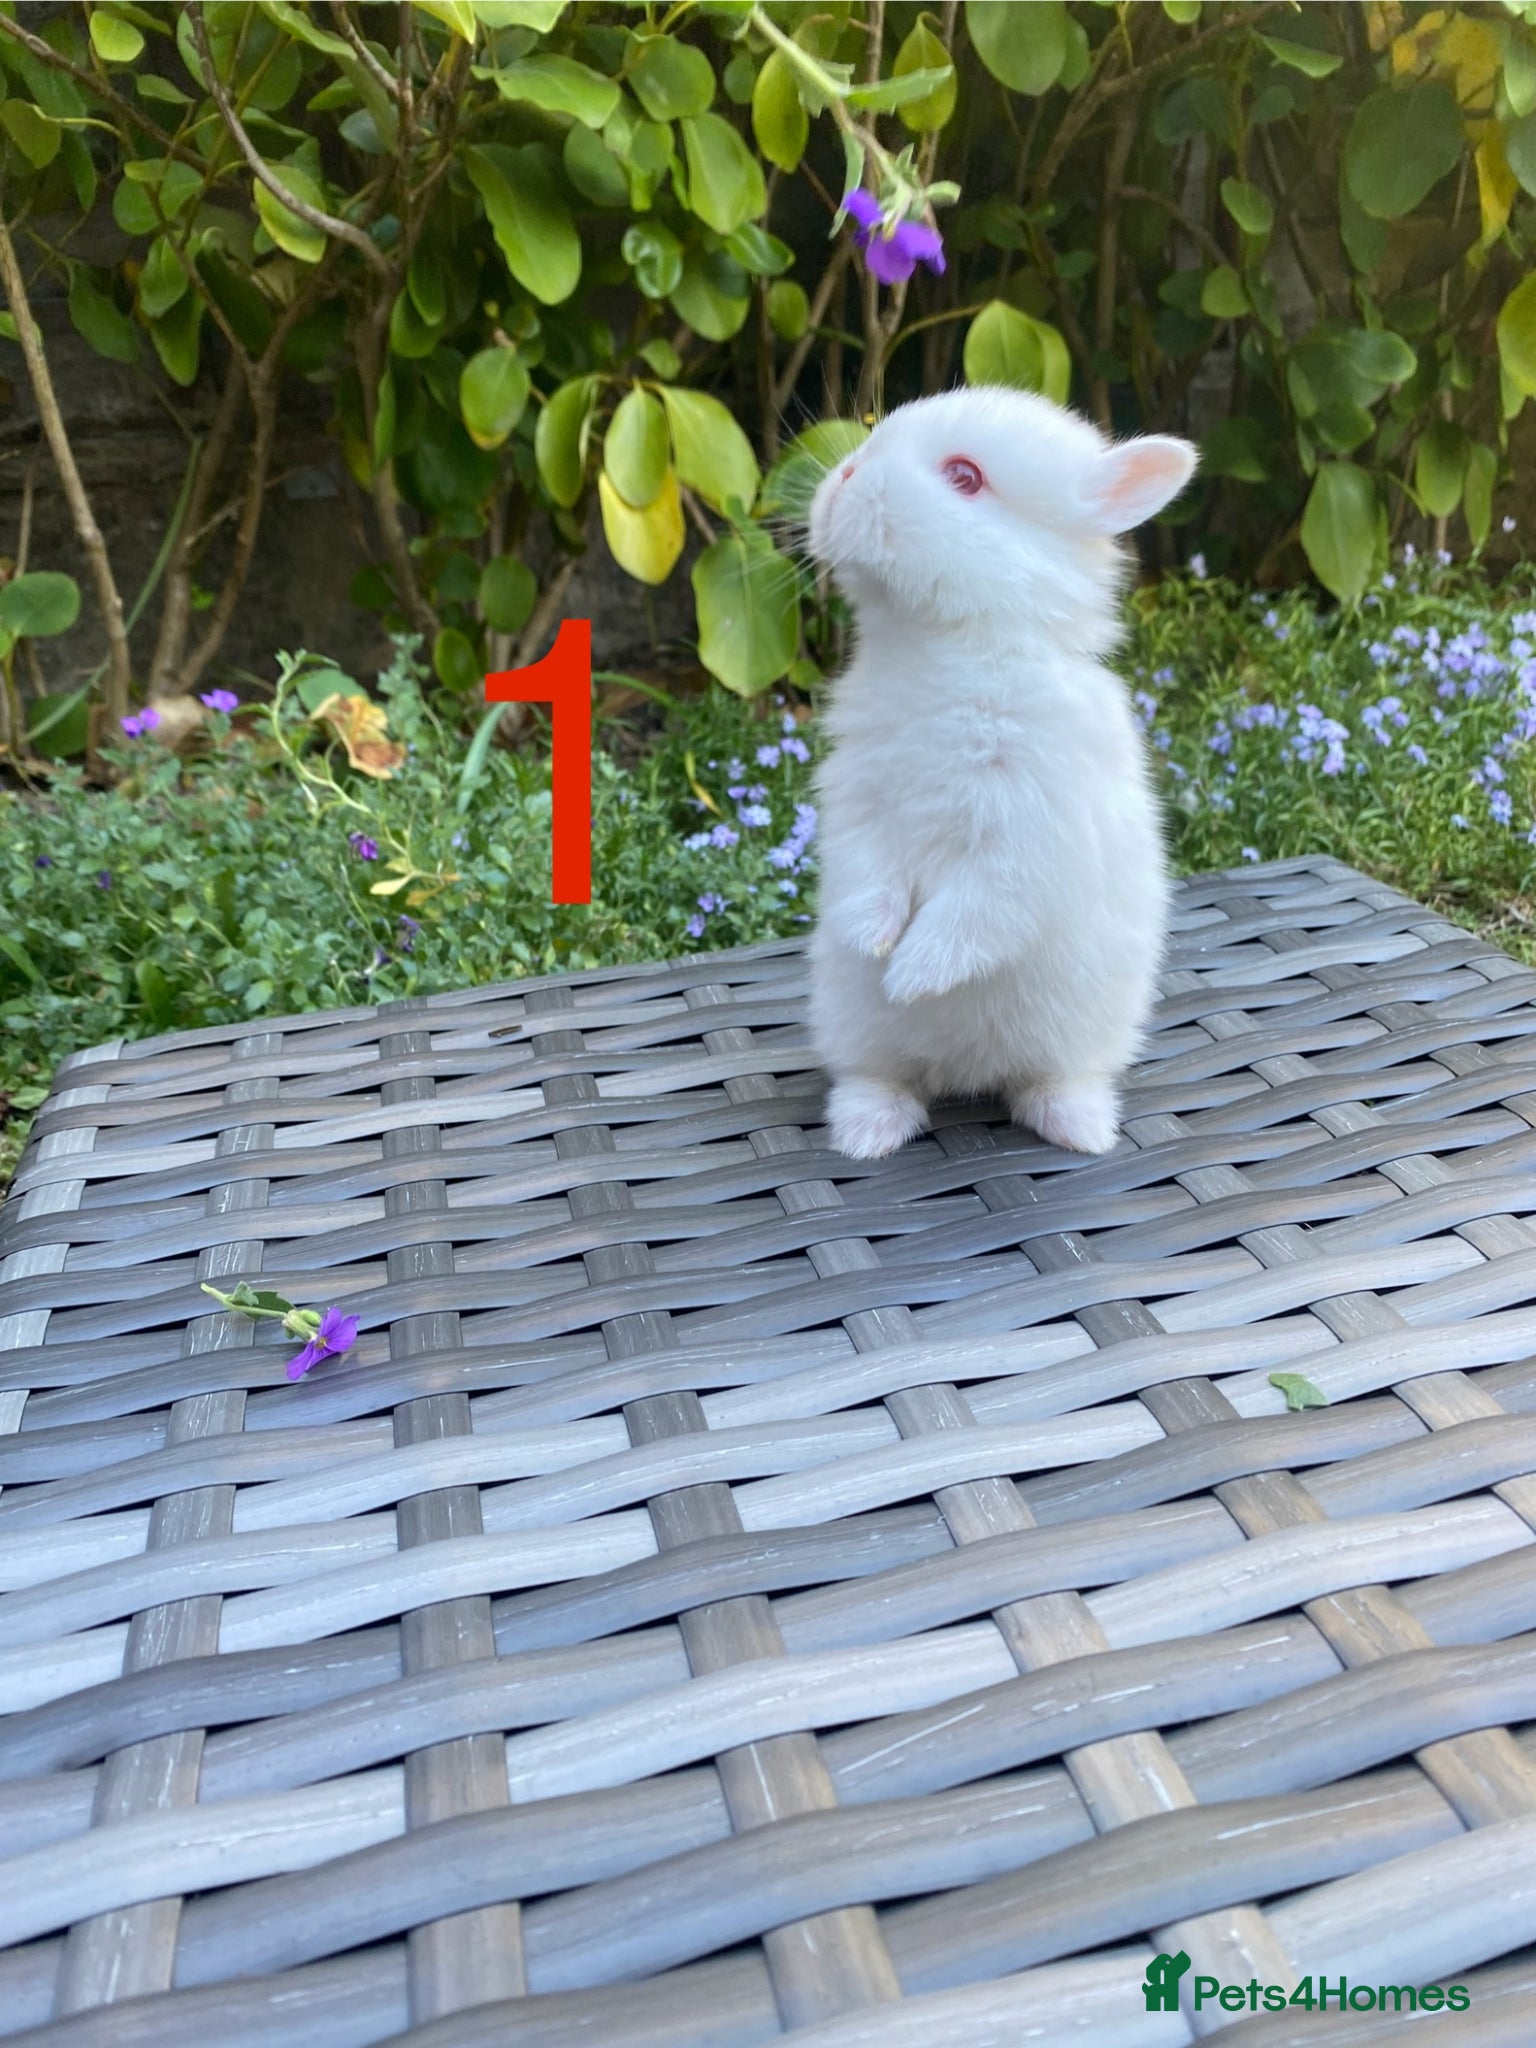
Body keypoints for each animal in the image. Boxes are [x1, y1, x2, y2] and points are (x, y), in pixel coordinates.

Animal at [805, 383, 1197, 1162]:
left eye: (965, 477)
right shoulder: (859, 803)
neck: (946, 647)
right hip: (852, 1030)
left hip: (1081, 1034)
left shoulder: (1028, 831)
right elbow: (867, 875)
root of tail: (966, 1076)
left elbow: (981, 909)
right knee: (880, 1078)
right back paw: (867, 1133)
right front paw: (873, 943)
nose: (847, 475)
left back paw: (1081, 1130)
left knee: (1049, 1080)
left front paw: (911, 975)